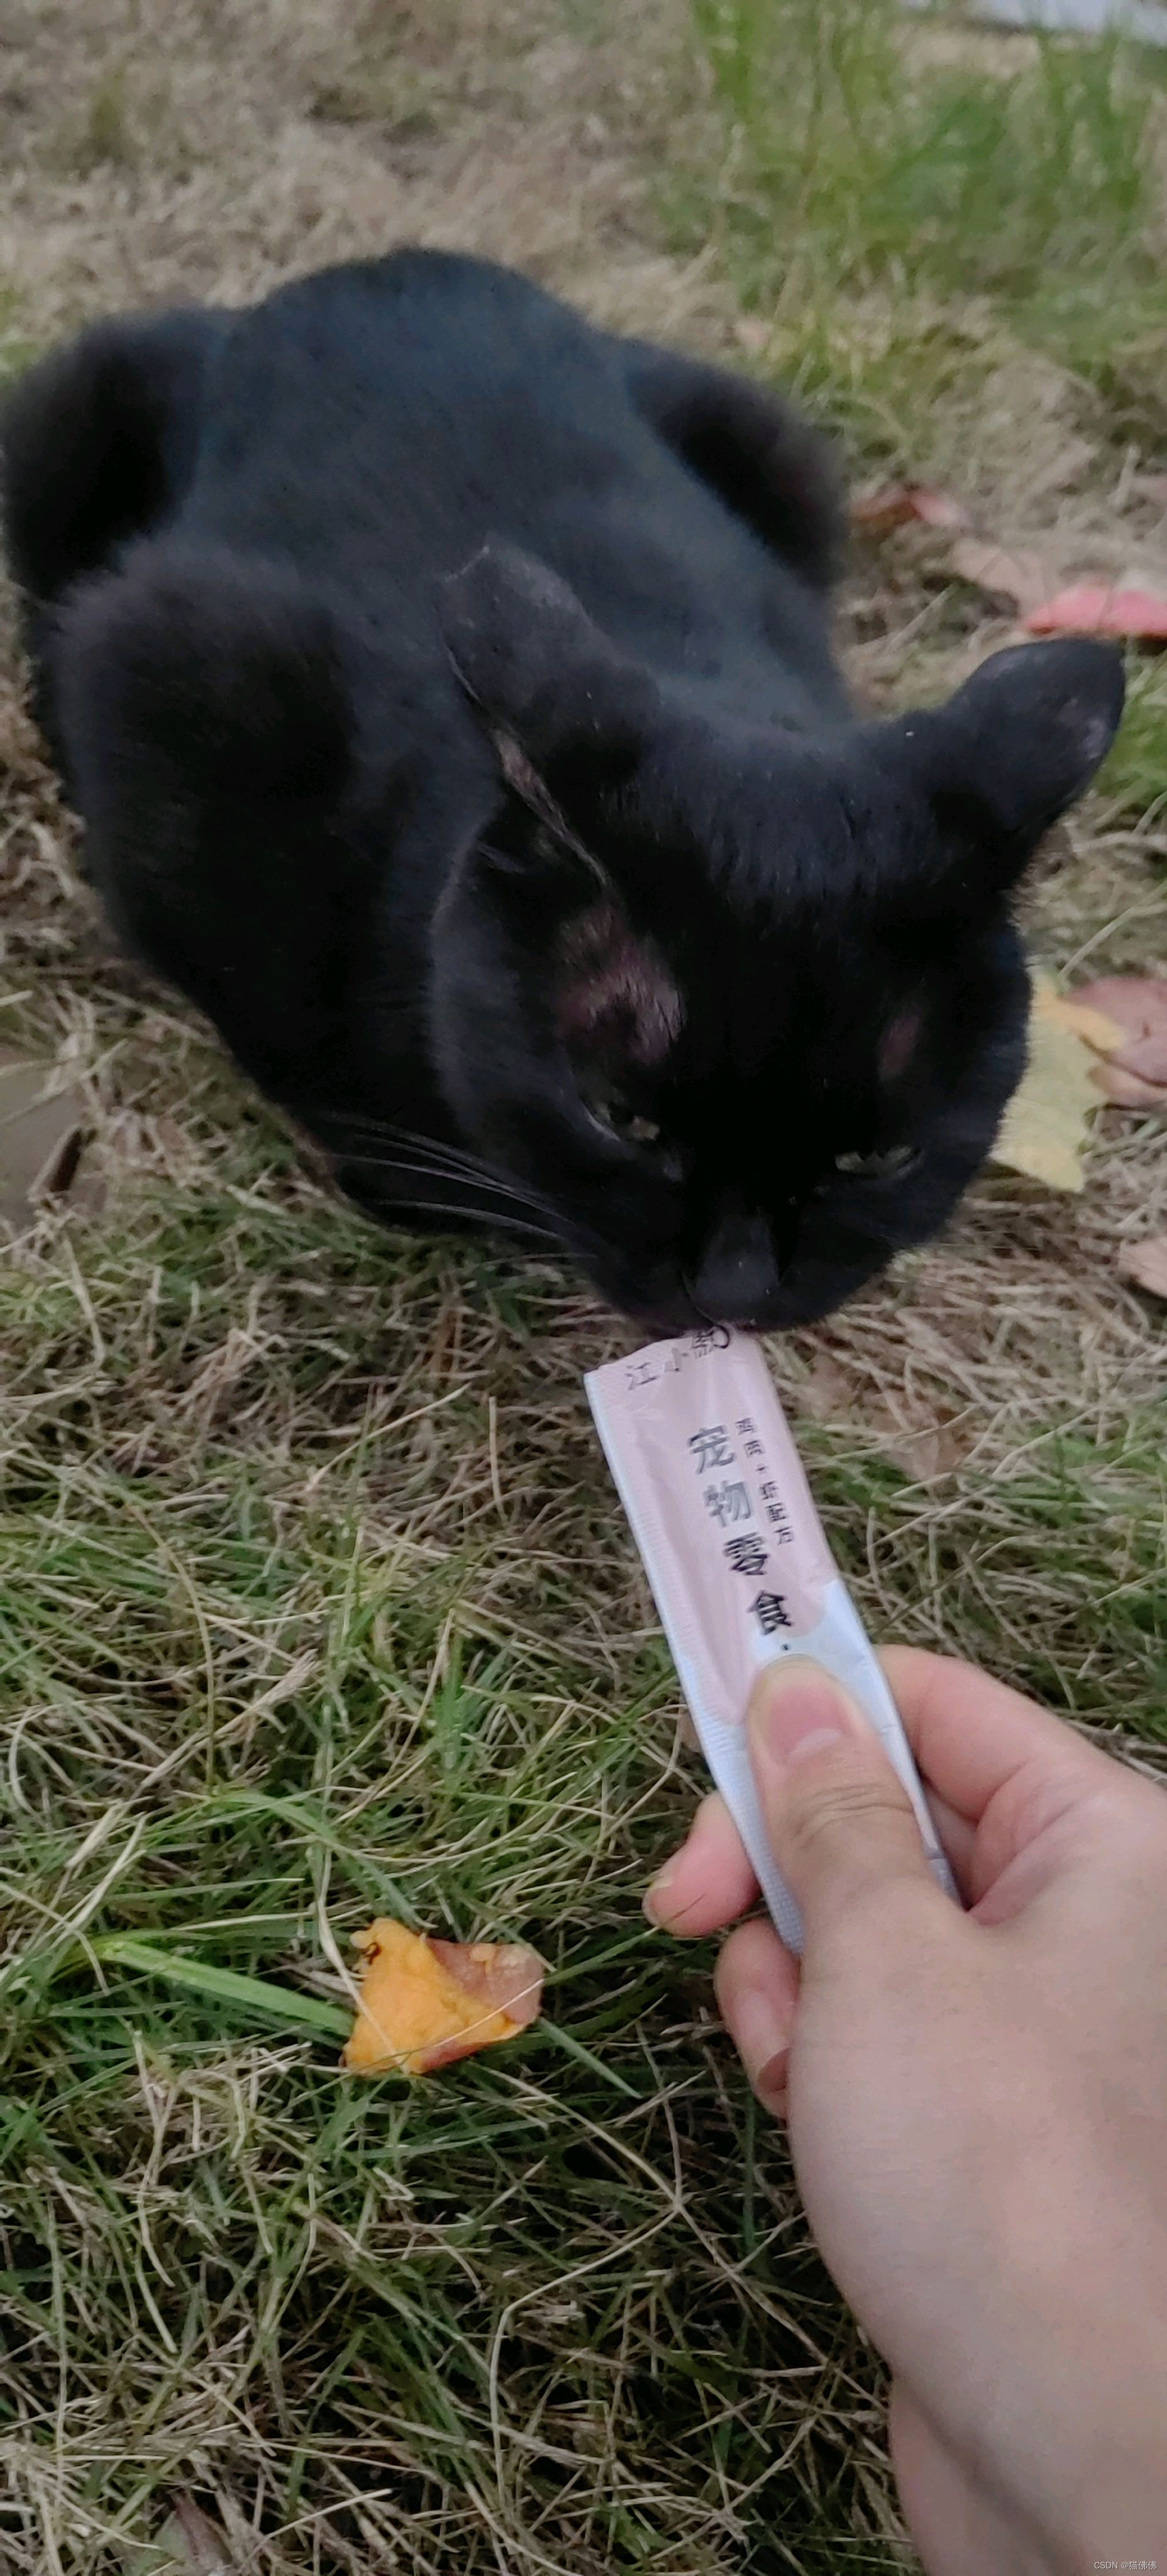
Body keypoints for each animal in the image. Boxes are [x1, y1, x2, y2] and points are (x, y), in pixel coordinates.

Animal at [1, 247, 1124, 1331]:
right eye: (620, 1118)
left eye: (876, 1157)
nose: (736, 1292)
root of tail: (378, 265)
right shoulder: (167, 672)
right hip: (61, 424)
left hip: (772, 441)